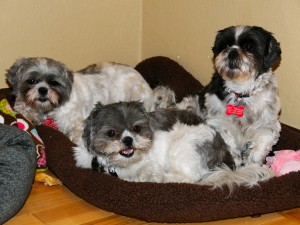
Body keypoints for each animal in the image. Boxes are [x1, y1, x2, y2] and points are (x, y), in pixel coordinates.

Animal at [5, 58, 175, 142]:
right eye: (32, 81)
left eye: (54, 82)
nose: (43, 90)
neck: (51, 109)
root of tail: (150, 91)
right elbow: (23, 108)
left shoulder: (77, 122)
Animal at [73, 101, 274, 191]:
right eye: (111, 133)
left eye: (136, 128)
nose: (128, 140)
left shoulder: (150, 166)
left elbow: (145, 175)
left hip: (182, 148)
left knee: (189, 179)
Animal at [197, 25, 282, 167]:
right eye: (225, 45)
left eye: (248, 46)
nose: (232, 51)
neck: (241, 94)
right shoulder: (216, 121)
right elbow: (227, 138)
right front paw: (235, 160)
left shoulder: (267, 125)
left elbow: (260, 146)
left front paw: (252, 165)